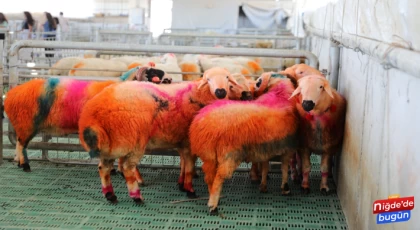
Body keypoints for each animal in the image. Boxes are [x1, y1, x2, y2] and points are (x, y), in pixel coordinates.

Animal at [76, 67, 238, 204]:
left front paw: (182, 185)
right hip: (133, 141)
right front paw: (190, 190)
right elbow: (189, 167)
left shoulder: (182, 142)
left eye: (227, 78)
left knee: (103, 167)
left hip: (111, 144)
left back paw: (110, 195)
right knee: (127, 167)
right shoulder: (189, 142)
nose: (220, 91)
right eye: (208, 79)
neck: (198, 94)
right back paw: (136, 196)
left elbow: (184, 164)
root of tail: (92, 114)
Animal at [189, 72, 300, 214]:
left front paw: (263, 186)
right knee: (219, 176)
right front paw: (285, 188)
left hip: (208, 155)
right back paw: (213, 205)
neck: (280, 95)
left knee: (209, 177)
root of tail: (202, 126)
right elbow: (284, 168)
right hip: (229, 154)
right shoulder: (287, 148)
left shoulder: (265, 147)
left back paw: (212, 196)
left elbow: (265, 167)